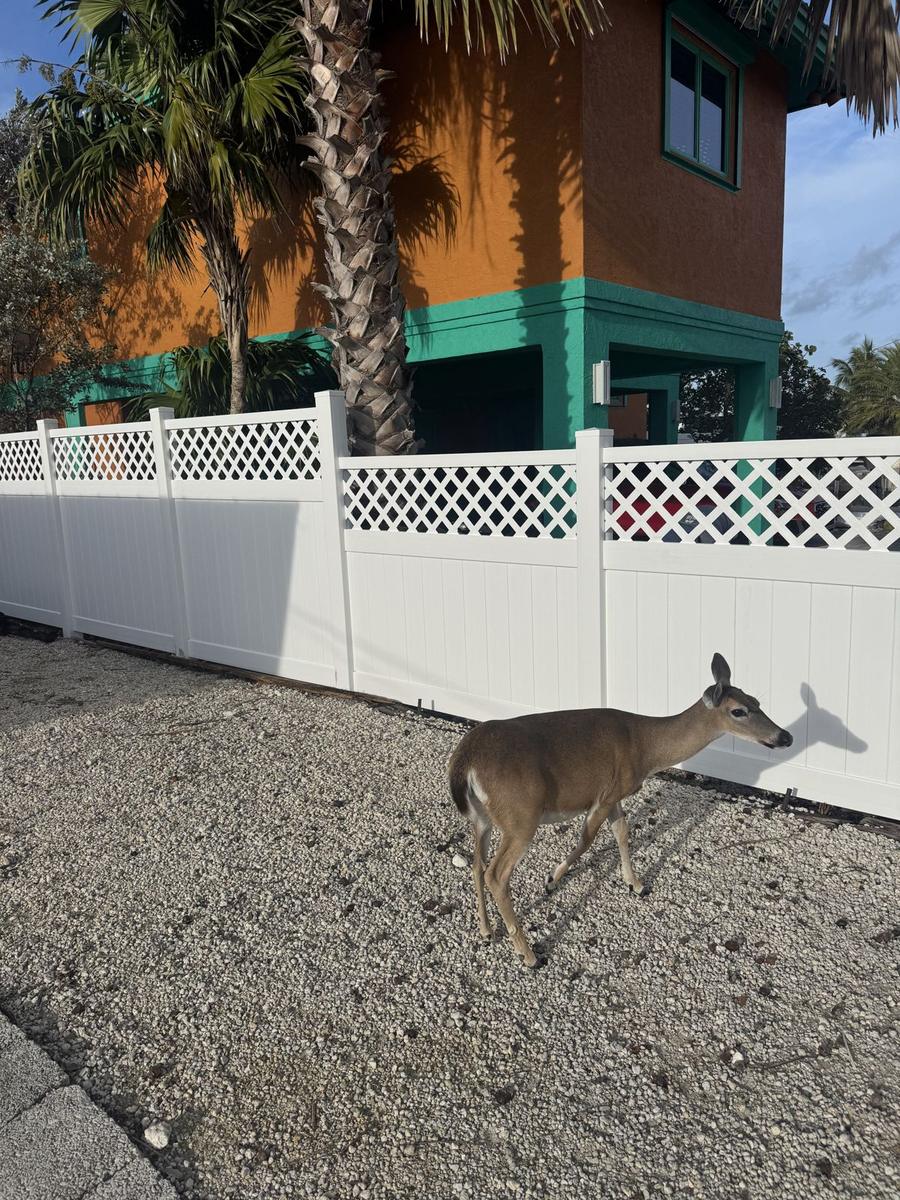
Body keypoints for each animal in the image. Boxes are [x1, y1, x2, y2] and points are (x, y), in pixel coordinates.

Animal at [448, 653, 793, 968]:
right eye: (739, 710)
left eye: (757, 700)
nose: (785, 736)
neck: (646, 747)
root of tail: (466, 759)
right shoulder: (604, 794)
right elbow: (587, 839)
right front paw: (553, 879)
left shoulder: (615, 793)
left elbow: (622, 832)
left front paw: (635, 884)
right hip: (521, 815)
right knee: (496, 873)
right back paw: (529, 954)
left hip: (483, 817)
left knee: (477, 864)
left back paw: (486, 930)